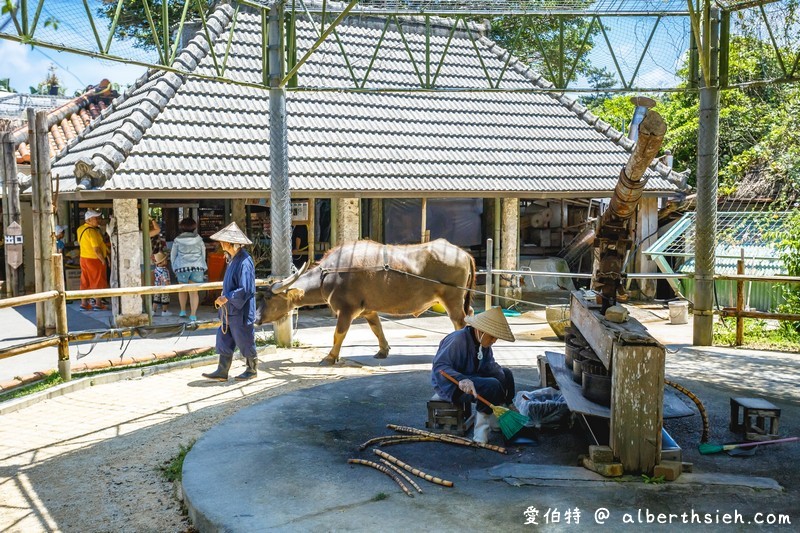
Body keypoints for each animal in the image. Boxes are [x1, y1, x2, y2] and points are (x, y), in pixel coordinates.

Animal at [255, 239, 476, 364]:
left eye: (267, 297)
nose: (256, 319)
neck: (331, 274)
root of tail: (463, 253)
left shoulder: (347, 310)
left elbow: (338, 334)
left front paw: (330, 357)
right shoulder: (368, 310)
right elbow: (377, 329)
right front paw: (383, 350)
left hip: (452, 299)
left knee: (459, 321)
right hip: (460, 299)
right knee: (471, 315)